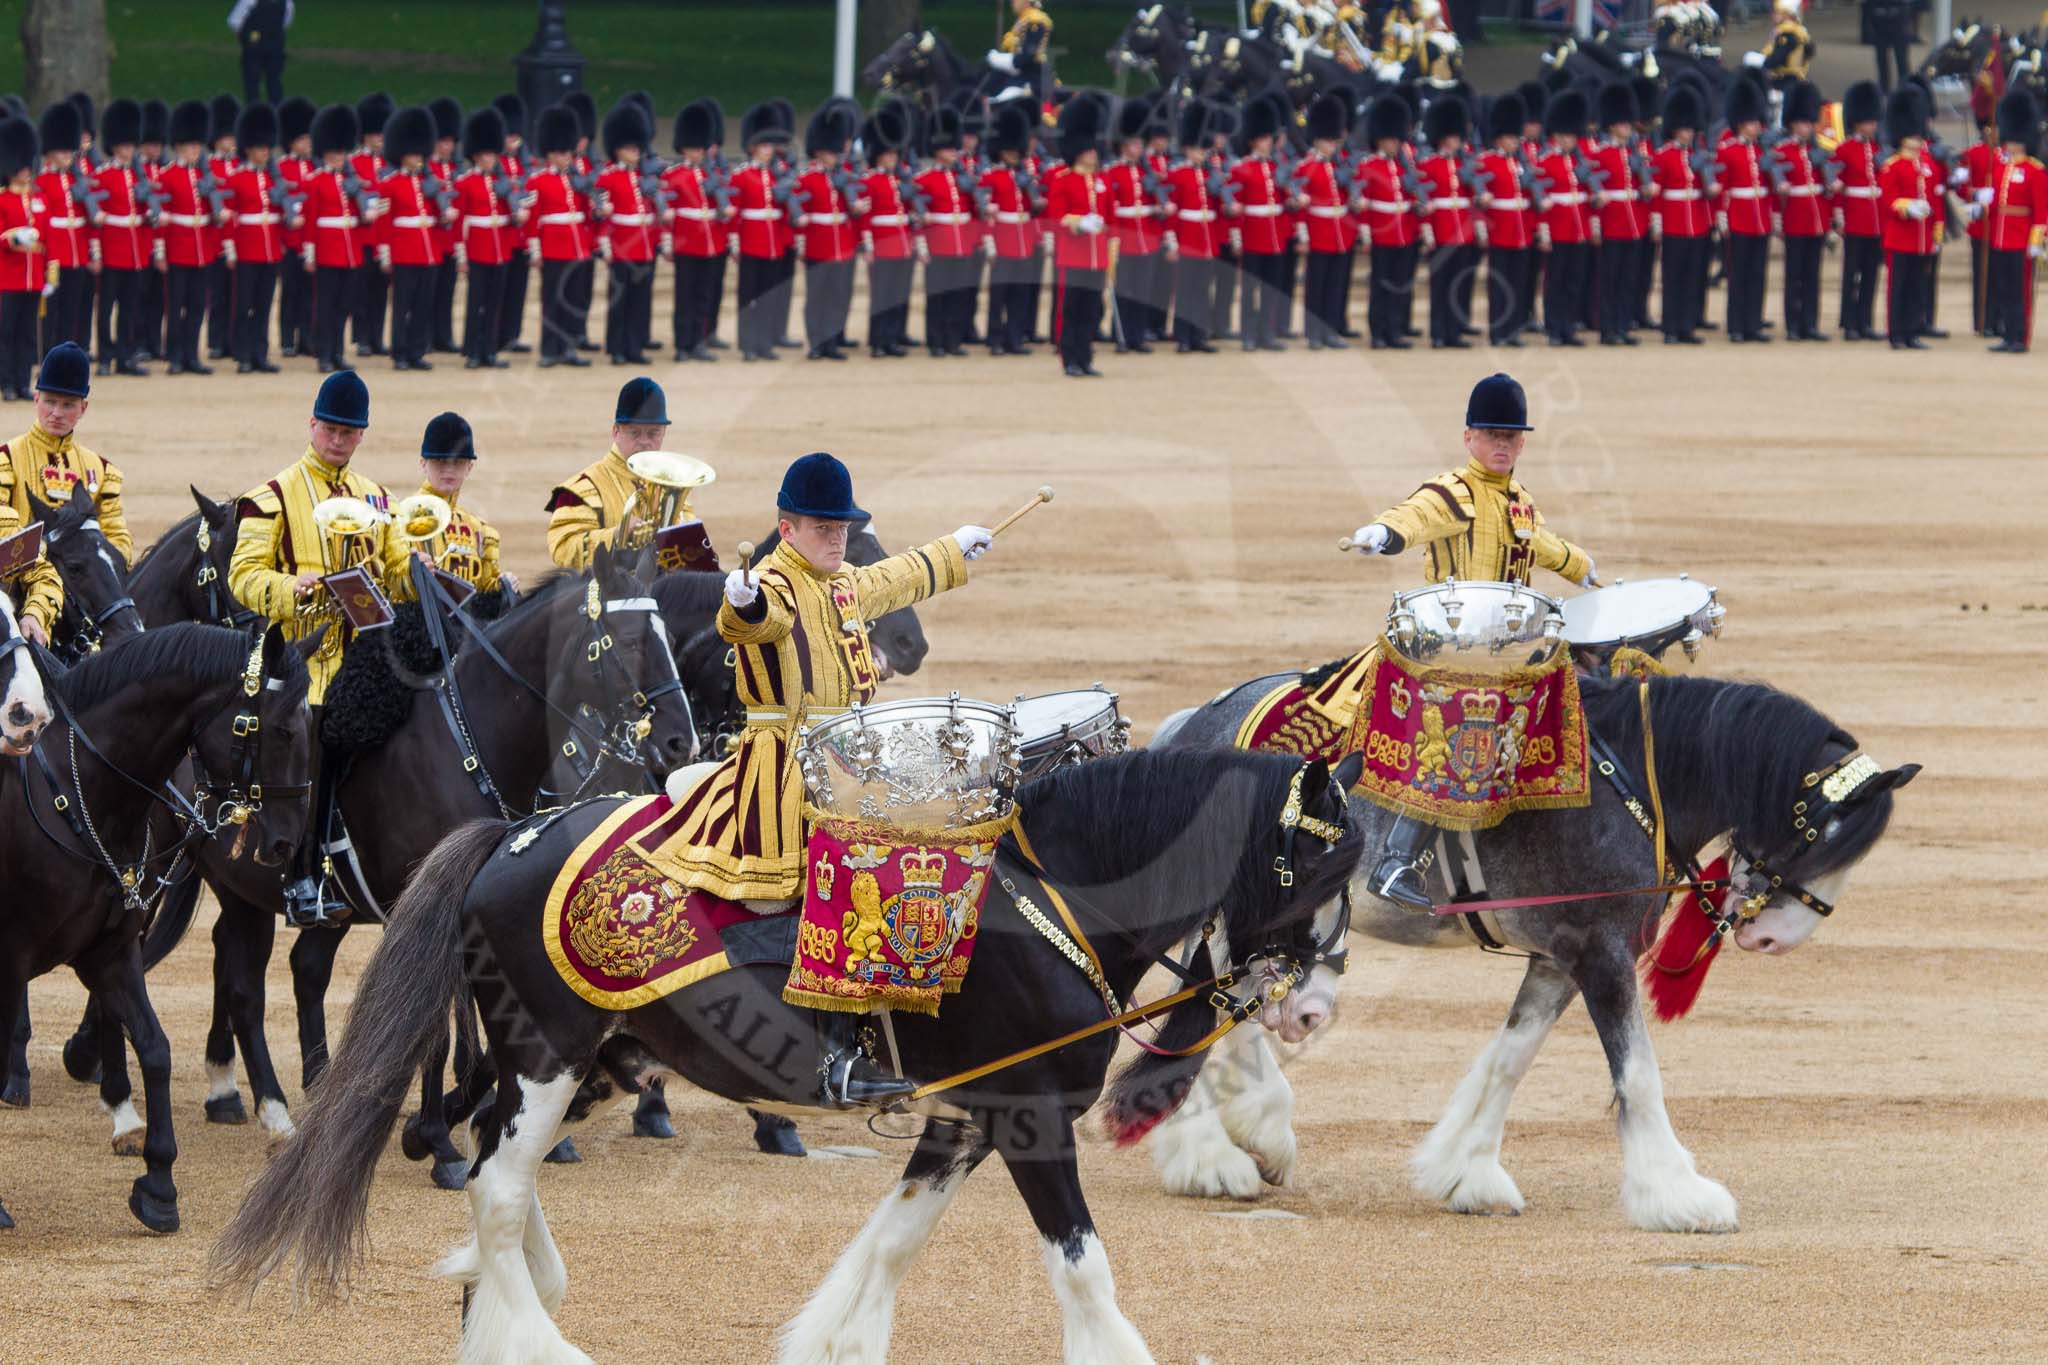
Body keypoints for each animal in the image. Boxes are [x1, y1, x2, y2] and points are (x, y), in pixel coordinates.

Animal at [0, 622, 315, 1233]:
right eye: (283, 730)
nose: (286, 844)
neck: (79, 794)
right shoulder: (11, 960)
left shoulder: (111, 952)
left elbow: (155, 1047)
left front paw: (159, 1185)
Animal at [211, 748, 1365, 1362]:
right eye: (1318, 867)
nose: (1309, 1009)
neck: (1054, 896)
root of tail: (510, 836)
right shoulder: (1030, 1121)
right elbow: (1083, 1267)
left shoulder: (963, 1119)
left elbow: (894, 1242)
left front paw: (834, 1342)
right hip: (549, 1053)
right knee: (497, 1185)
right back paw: (533, 1334)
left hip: (581, 1067)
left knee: (498, 1164)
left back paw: (500, 1302)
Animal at [1149, 668, 1916, 1230]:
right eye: (1818, 833)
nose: (1773, 935)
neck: (1628, 783)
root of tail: (1197, 722)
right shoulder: (1601, 953)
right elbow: (1638, 1072)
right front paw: (1678, 1193)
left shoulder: (1560, 957)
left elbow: (1512, 1057)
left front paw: (1468, 1171)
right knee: (1203, 1009)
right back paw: (1215, 1154)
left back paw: (1254, 1131)